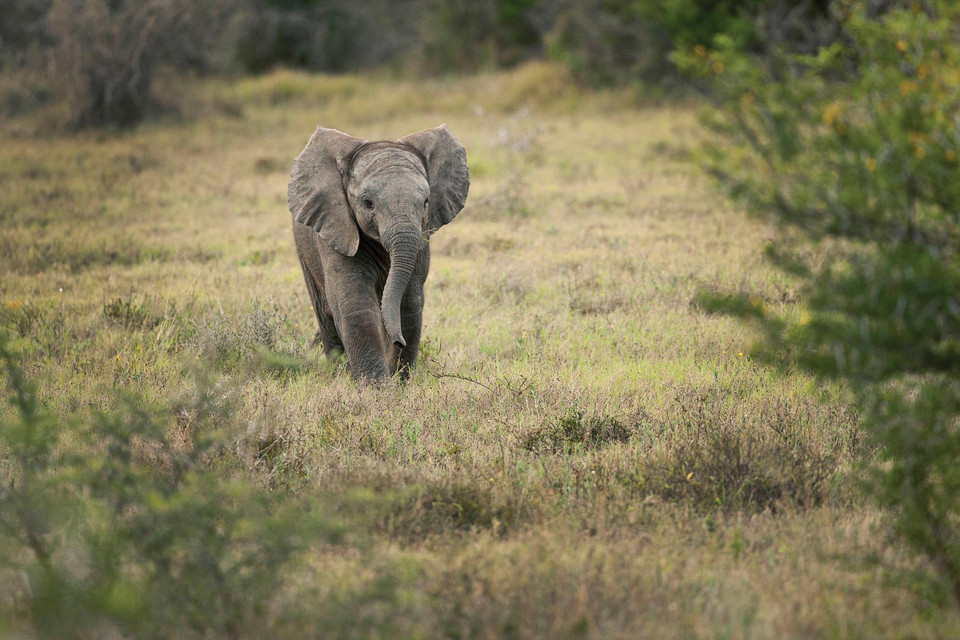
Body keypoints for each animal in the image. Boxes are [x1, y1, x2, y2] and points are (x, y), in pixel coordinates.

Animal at [286, 127, 470, 382]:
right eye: (368, 203)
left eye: (426, 202)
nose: (398, 340)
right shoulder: (337, 230)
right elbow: (357, 305)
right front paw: (376, 387)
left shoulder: (421, 241)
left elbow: (409, 305)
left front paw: (401, 382)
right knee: (325, 315)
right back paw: (336, 371)